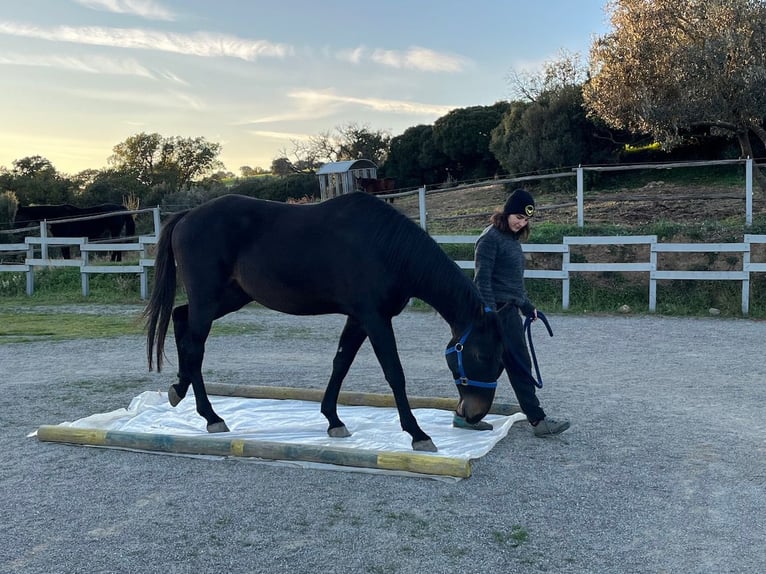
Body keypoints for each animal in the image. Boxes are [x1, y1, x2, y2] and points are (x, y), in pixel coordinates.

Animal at [145, 194, 508, 454]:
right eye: (481, 355)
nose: (475, 414)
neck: (386, 247)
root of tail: (187, 216)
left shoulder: (359, 318)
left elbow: (341, 362)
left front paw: (333, 419)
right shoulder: (375, 319)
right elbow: (394, 373)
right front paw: (417, 433)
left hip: (229, 298)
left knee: (181, 321)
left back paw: (179, 390)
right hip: (209, 299)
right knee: (195, 346)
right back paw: (211, 417)